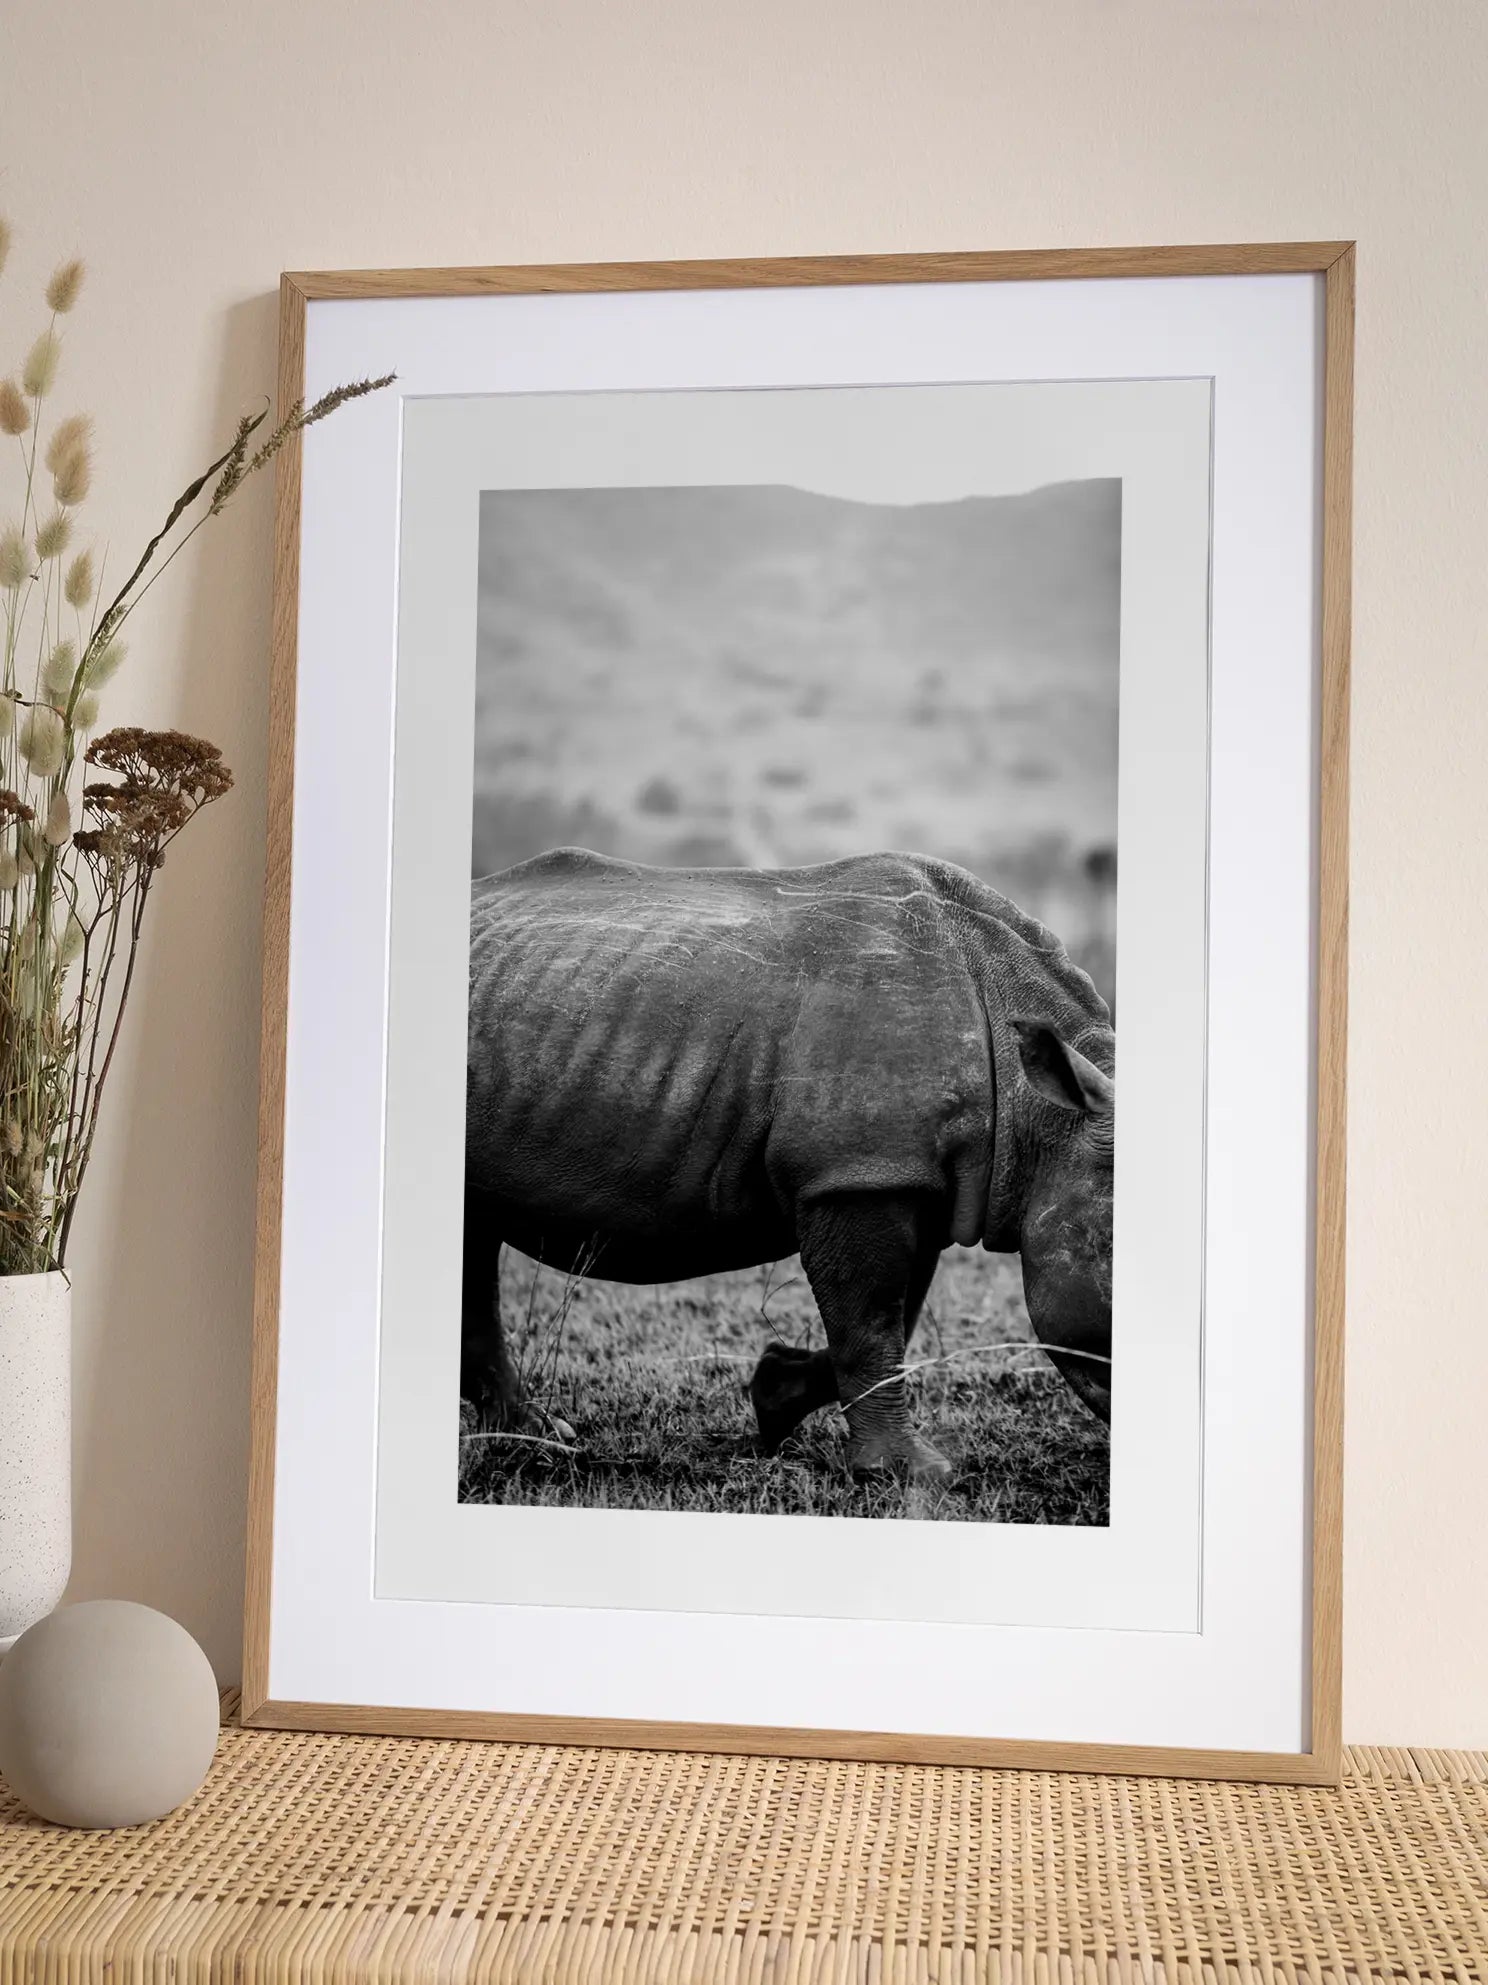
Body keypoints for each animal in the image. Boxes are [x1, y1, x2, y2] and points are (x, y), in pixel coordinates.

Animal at [463, 847, 1113, 1479]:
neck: (1045, 1120)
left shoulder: (903, 1175)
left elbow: (895, 1314)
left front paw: (775, 1396)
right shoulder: (856, 1174)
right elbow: (871, 1320)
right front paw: (909, 1472)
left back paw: (534, 1433)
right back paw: (539, 1438)